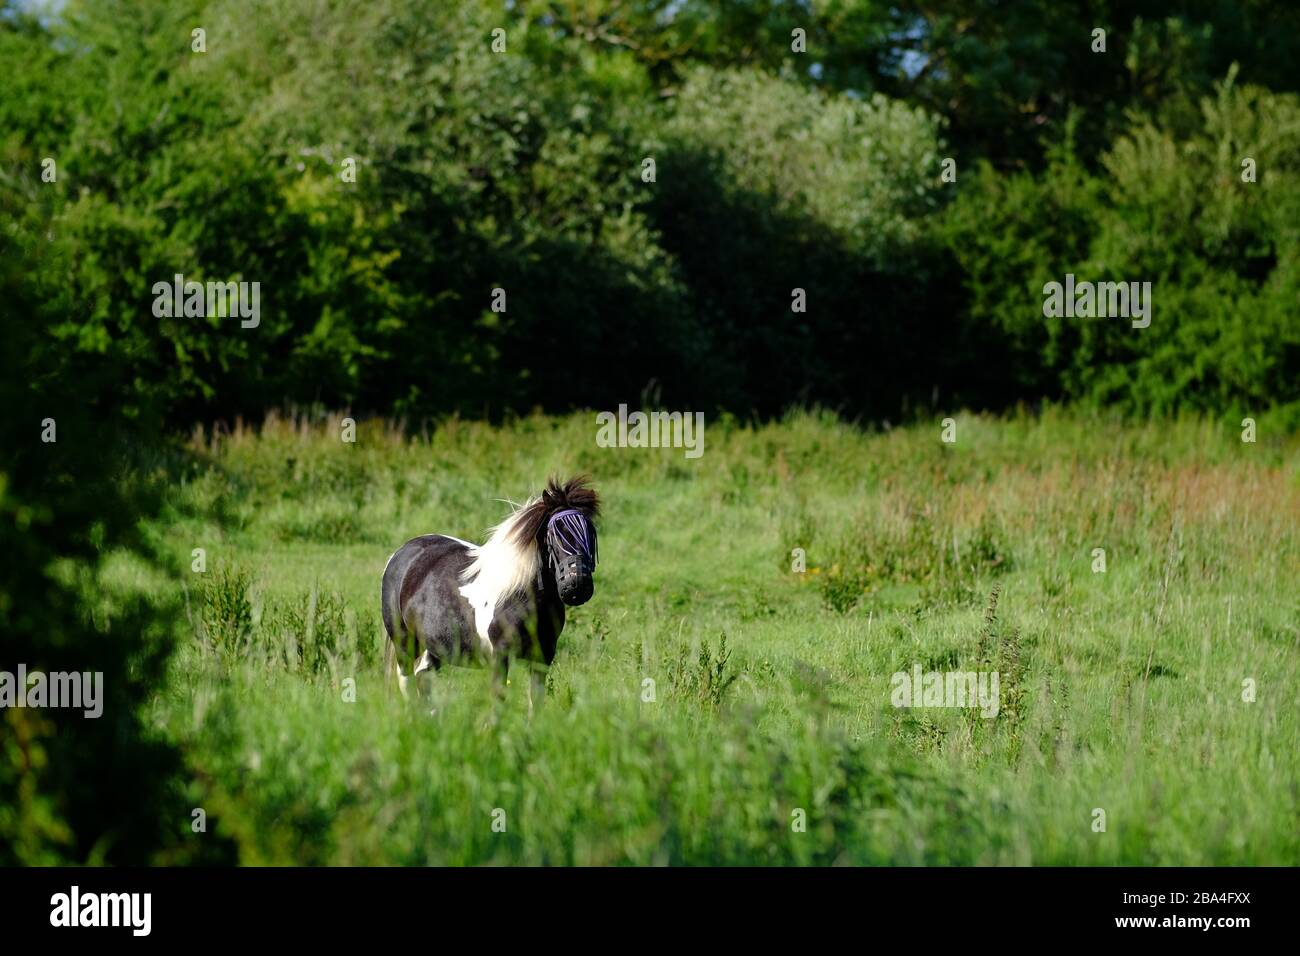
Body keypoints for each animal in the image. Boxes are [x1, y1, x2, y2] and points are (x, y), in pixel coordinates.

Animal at [377, 476, 598, 712]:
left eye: (591, 533)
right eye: (555, 534)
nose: (578, 585)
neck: (519, 598)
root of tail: (401, 552)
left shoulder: (543, 656)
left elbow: (535, 703)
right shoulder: (499, 657)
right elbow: (497, 701)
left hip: (436, 645)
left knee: (423, 677)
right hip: (404, 640)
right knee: (407, 680)